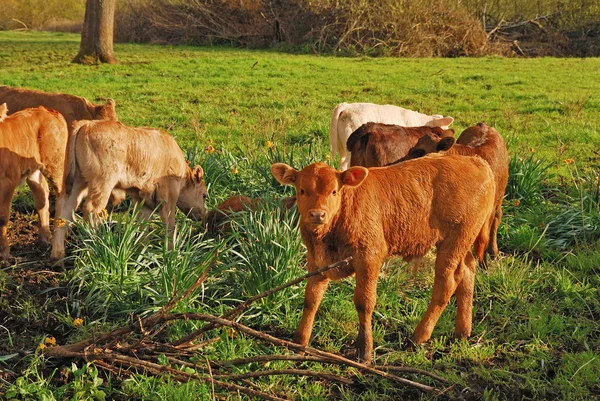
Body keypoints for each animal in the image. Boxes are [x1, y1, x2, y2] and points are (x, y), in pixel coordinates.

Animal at [0, 104, 69, 258]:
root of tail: (47, 109)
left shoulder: (7, 181)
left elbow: (2, 216)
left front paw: (4, 253)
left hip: (56, 163)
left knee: (63, 195)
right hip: (33, 169)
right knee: (42, 195)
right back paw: (44, 239)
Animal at [50, 119, 209, 260]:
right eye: (204, 195)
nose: (202, 215)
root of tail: (88, 124)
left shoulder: (143, 200)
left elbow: (143, 226)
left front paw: (142, 251)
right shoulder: (168, 198)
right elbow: (169, 226)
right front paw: (171, 253)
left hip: (77, 181)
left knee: (65, 207)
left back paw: (58, 256)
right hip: (103, 182)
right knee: (92, 209)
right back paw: (96, 245)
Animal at [274, 155, 496, 362]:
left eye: (334, 191)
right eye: (302, 190)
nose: (317, 214)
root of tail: (476, 161)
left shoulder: (369, 257)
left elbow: (364, 302)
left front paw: (365, 351)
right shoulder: (316, 261)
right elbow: (311, 299)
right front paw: (299, 342)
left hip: (454, 240)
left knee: (446, 283)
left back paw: (417, 337)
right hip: (463, 242)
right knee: (467, 270)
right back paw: (461, 333)